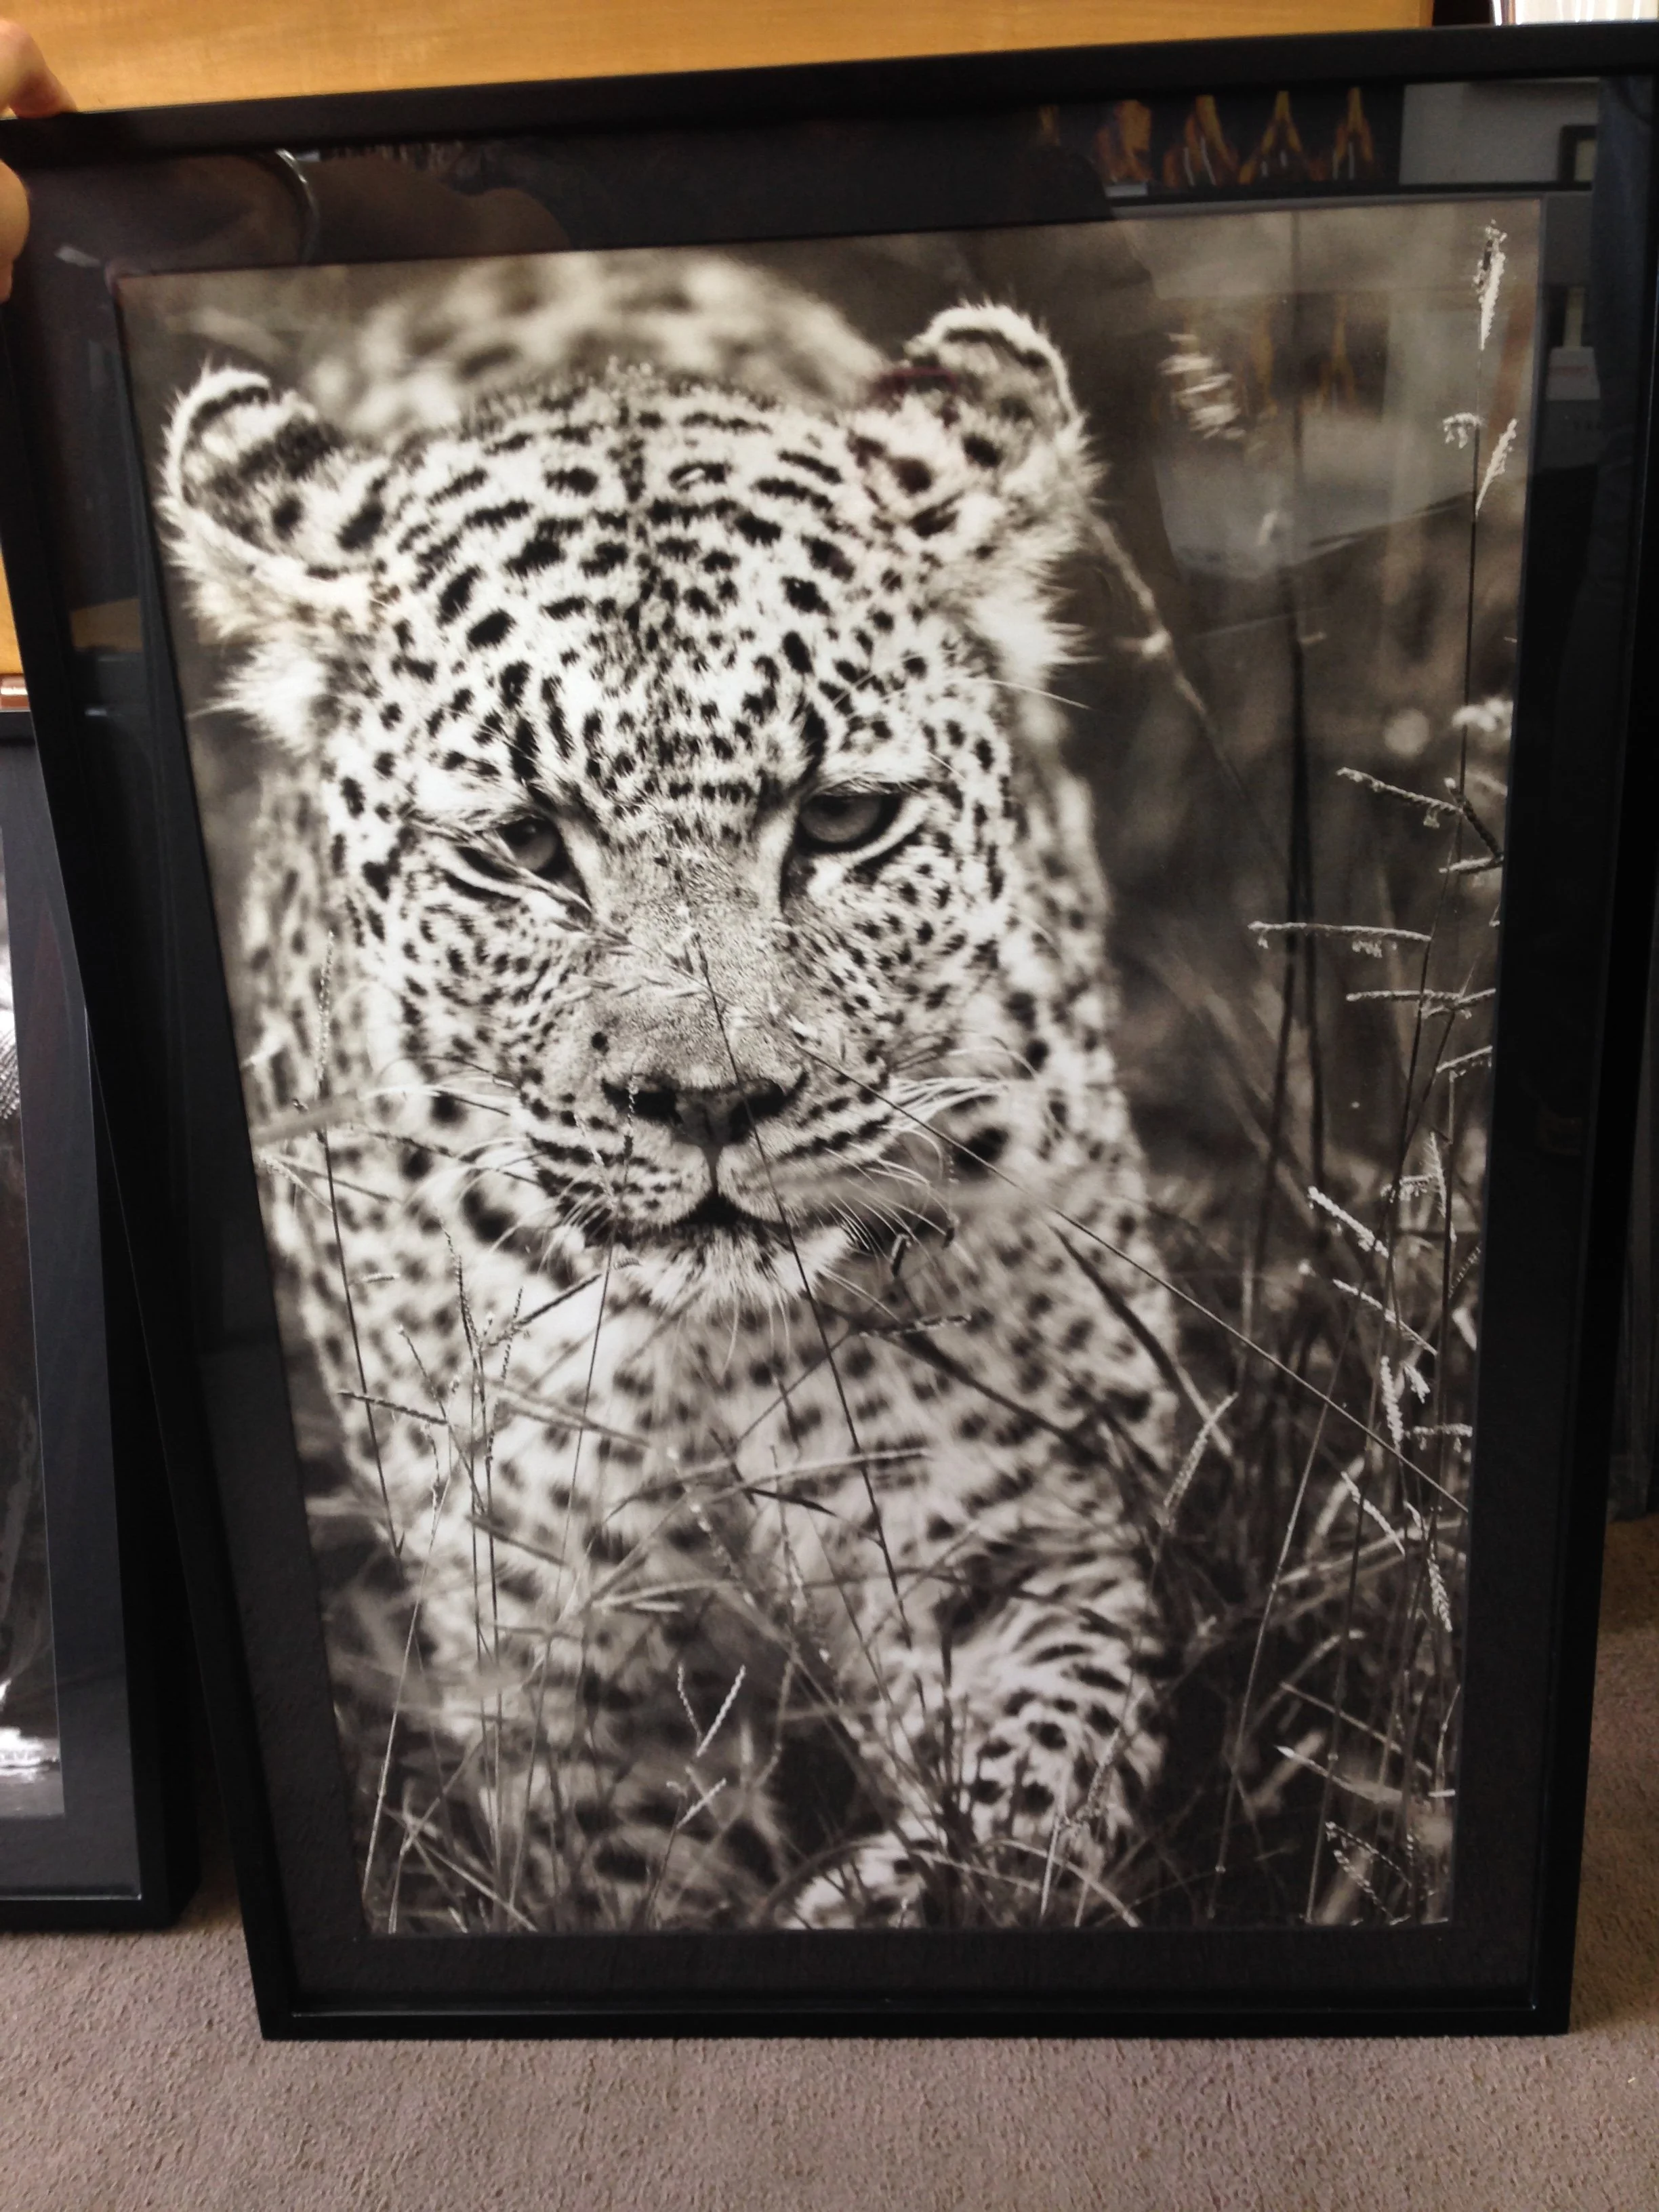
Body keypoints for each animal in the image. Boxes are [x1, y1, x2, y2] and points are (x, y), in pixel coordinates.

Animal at [157, 250, 1181, 1932]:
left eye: (840, 820)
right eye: (522, 845)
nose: (709, 1102)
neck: (715, 1356)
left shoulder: (1038, 1537)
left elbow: (1036, 1807)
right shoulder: (566, 1667)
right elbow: (630, 1878)